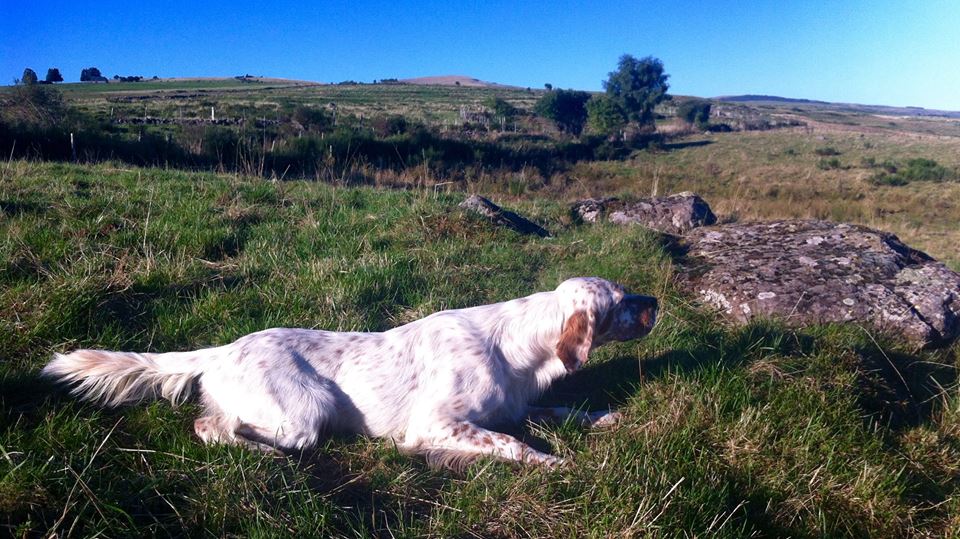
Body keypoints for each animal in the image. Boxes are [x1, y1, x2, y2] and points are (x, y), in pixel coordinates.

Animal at [47, 278, 660, 468]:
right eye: (621, 301)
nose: (655, 301)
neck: (512, 346)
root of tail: (221, 349)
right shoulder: (435, 425)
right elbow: (510, 443)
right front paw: (550, 462)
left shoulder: (514, 404)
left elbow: (559, 409)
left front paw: (603, 415)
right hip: (304, 413)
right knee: (210, 428)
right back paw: (266, 455)